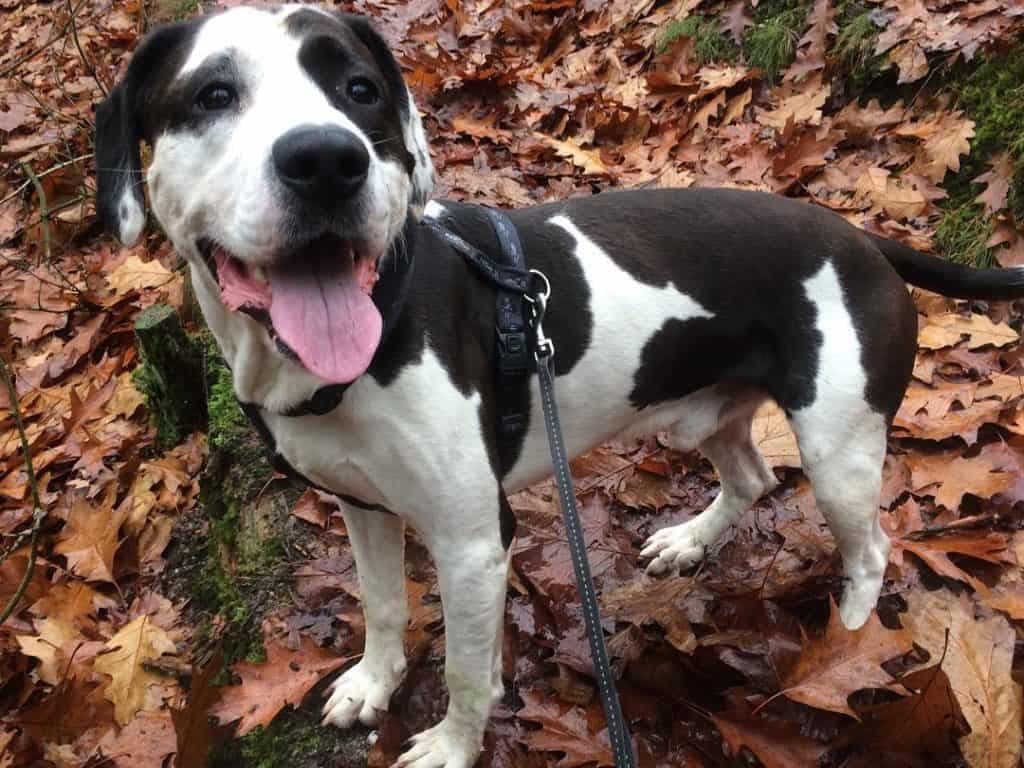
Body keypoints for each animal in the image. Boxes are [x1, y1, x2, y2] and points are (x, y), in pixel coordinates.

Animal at [96, 4, 1024, 765]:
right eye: (213, 94)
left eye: (361, 90)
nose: (327, 160)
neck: (369, 327)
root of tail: (864, 240)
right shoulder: (362, 506)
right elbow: (383, 605)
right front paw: (373, 682)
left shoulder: (474, 543)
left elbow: (470, 670)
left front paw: (451, 747)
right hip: (705, 417)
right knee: (754, 477)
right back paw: (691, 540)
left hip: (840, 451)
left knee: (869, 551)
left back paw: (852, 642)